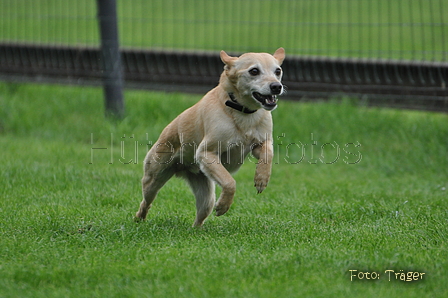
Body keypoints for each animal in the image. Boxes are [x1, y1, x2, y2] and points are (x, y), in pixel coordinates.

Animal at [135, 47, 286, 227]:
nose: (276, 86)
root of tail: (181, 169)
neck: (243, 113)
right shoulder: (207, 153)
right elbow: (230, 182)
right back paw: (139, 218)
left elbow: (268, 154)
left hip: (205, 192)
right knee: (146, 201)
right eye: (254, 71)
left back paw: (195, 230)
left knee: (201, 214)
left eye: (278, 71)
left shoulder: (260, 143)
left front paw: (262, 178)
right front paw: (223, 206)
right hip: (154, 178)